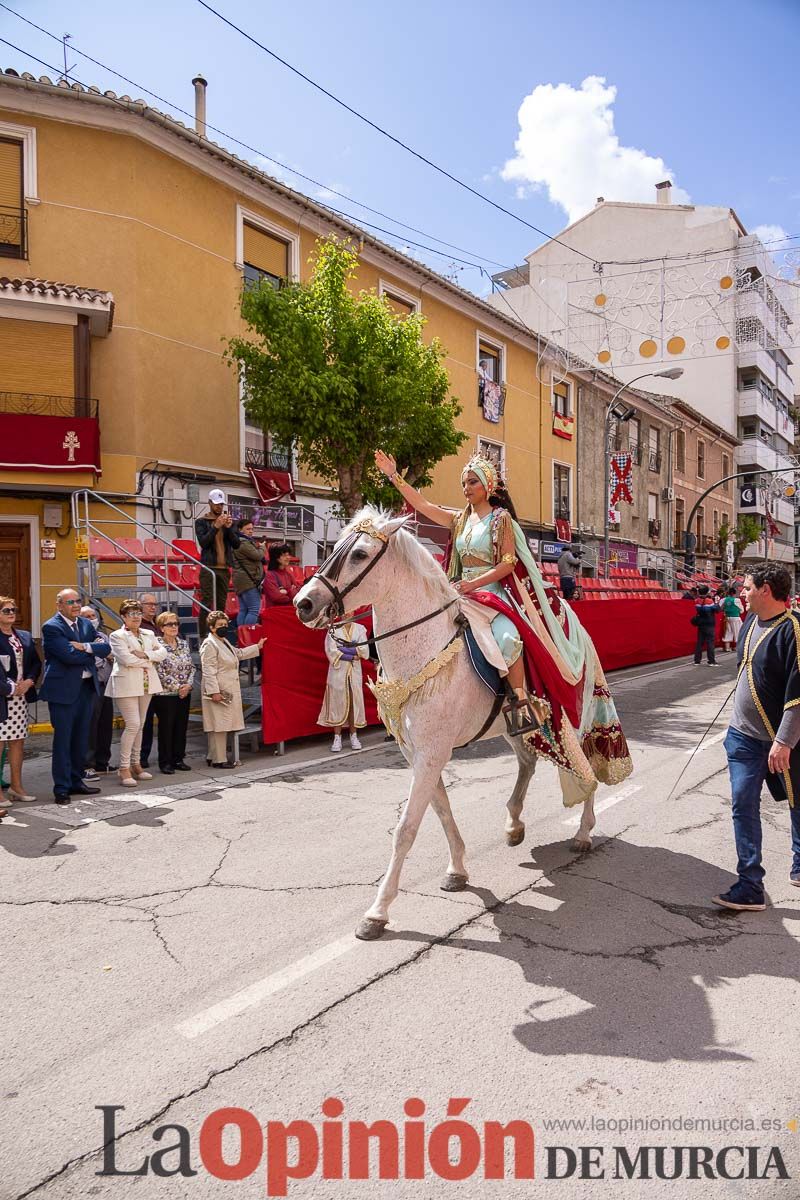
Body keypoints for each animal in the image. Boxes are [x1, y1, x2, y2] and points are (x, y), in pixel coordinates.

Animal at [296, 506, 599, 936]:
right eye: (334, 546)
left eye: (359, 554)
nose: (303, 603)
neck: (424, 649)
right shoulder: (418, 753)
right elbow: (440, 811)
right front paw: (457, 870)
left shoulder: (432, 752)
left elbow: (406, 828)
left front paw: (377, 911)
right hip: (513, 725)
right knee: (526, 762)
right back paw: (514, 825)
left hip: (572, 715)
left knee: (586, 765)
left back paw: (584, 832)